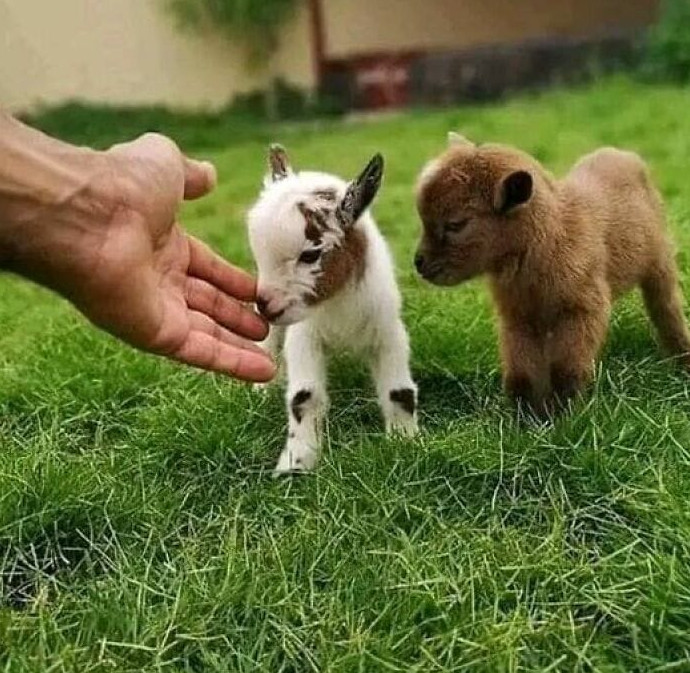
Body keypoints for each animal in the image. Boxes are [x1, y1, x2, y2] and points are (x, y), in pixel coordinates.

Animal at [249, 145, 420, 476]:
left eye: (310, 254)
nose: (268, 306)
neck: (338, 303)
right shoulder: (304, 336)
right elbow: (304, 397)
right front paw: (296, 464)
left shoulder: (388, 332)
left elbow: (399, 391)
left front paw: (405, 442)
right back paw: (261, 390)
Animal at [414, 132, 688, 414]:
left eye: (456, 224)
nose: (419, 263)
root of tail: (620, 153)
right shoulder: (517, 316)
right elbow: (520, 372)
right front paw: (523, 418)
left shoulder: (583, 309)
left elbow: (565, 369)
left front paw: (565, 414)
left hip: (660, 261)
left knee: (667, 310)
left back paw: (682, 362)